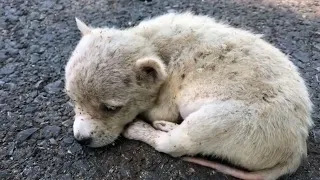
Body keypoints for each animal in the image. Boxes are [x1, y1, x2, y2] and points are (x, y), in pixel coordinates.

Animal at [64, 11, 312, 179]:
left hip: (228, 122)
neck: (152, 43)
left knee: (174, 144)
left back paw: (147, 129)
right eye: (72, 100)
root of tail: (296, 150)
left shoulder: (168, 95)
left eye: (111, 108)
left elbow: (158, 112)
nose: (81, 140)